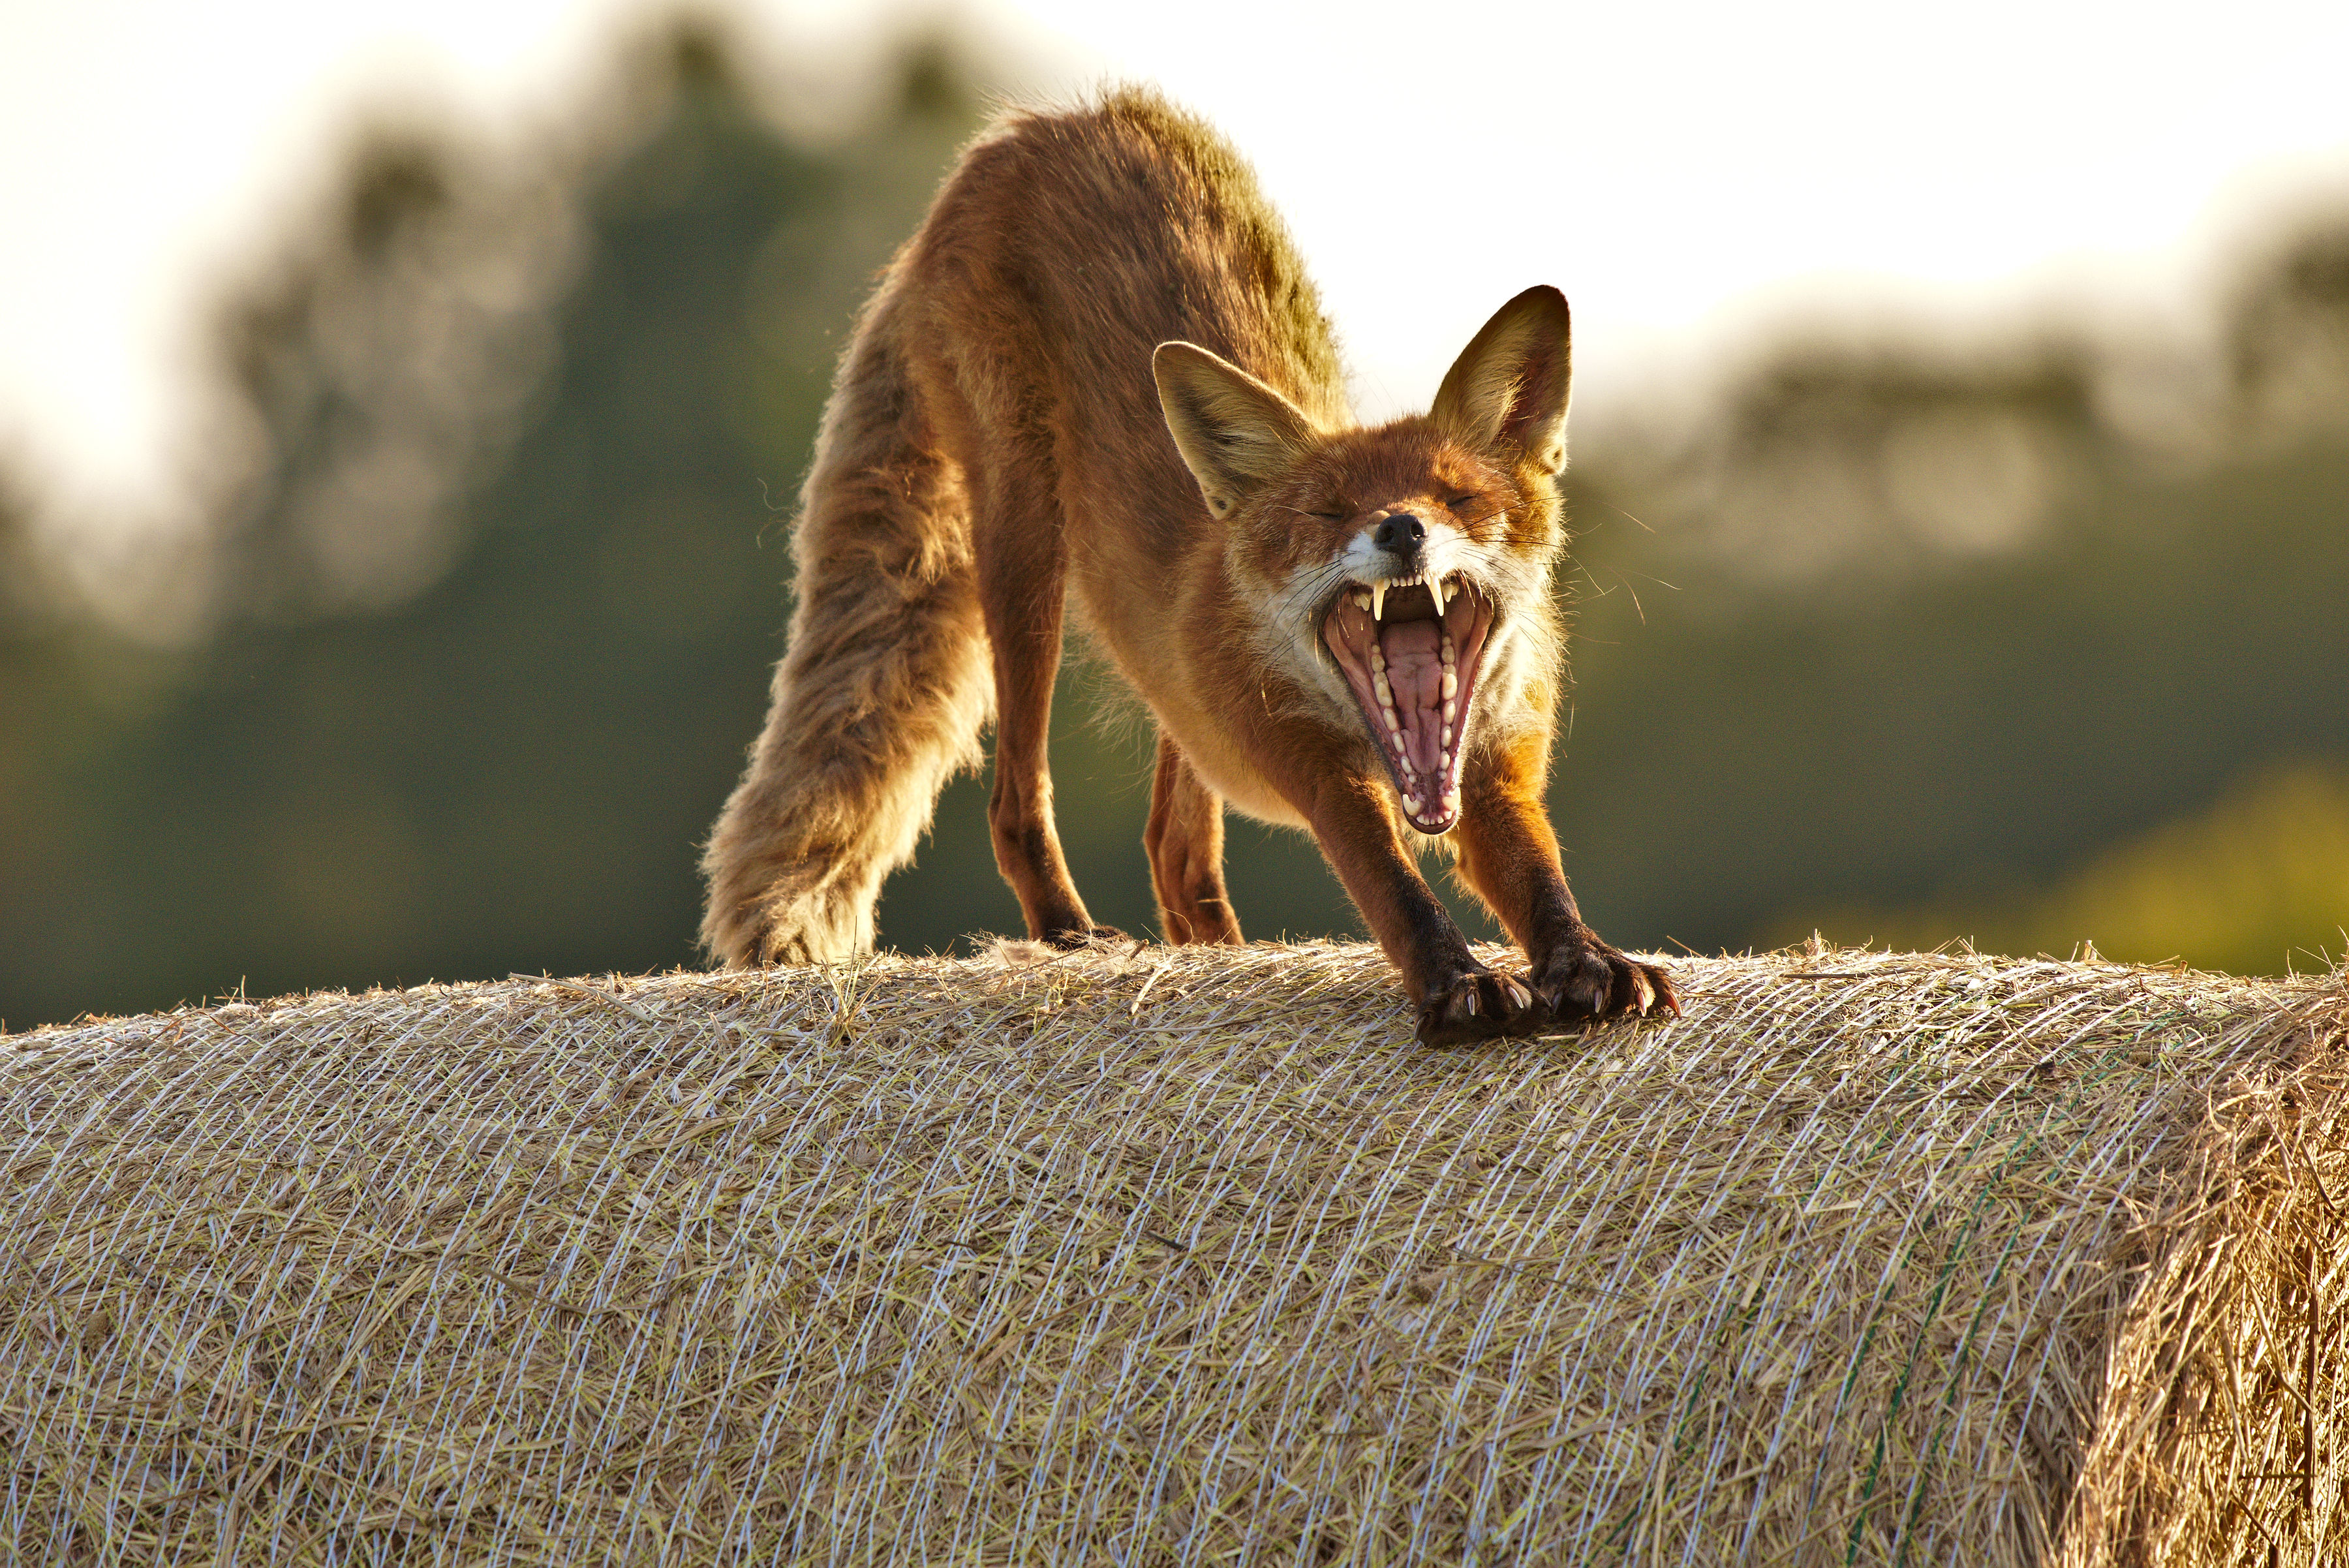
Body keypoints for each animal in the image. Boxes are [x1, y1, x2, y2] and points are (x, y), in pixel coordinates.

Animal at [695, 85, 1672, 1042]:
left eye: (1458, 498)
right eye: (1326, 513)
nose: (1401, 529)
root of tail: (1038, 124)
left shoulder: (1497, 765)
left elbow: (1540, 881)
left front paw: (1587, 962)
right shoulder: (1313, 767)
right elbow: (1394, 889)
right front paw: (1456, 985)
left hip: (1161, 683)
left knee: (1172, 845)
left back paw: (1216, 952)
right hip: (1022, 549)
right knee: (1018, 802)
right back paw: (1068, 933)